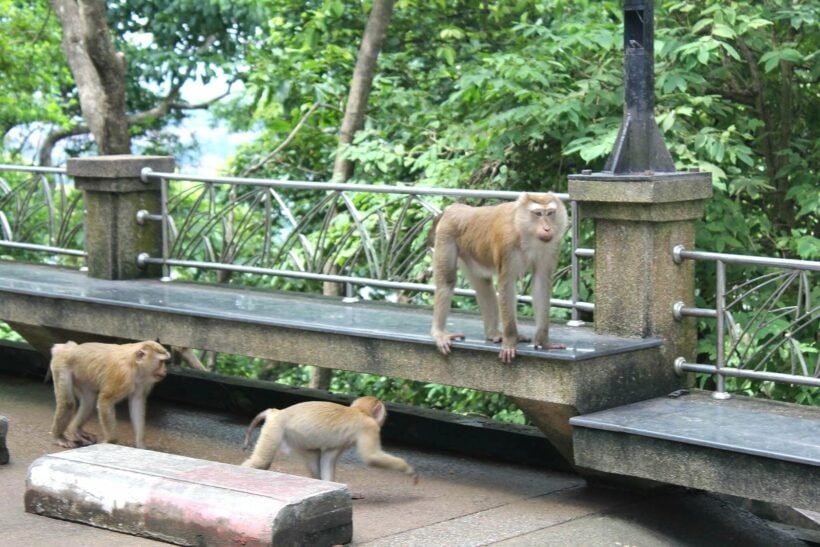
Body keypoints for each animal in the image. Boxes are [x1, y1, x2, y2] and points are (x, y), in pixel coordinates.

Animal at [237, 396, 416, 486]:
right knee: (262, 462)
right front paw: (407, 468)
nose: (385, 418)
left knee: (311, 454)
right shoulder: (369, 427)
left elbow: (327, 459)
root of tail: (277, 412)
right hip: (274, 429)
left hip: (294, 436)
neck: (359, 411)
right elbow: (371, 458)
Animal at [430, 193, 572, 364]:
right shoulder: (507, 244)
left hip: (470, 254)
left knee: (483, 285)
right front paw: (510, 341)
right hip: (446, 237)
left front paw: (544, 342)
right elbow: (507, 285)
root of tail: (456, 208)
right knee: (447, 281)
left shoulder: (552, 247)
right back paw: (439, 332)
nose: (547, 228)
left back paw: (493, 333)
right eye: (538, 214)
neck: (523, 230)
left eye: (550, 213)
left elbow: (541, 284)